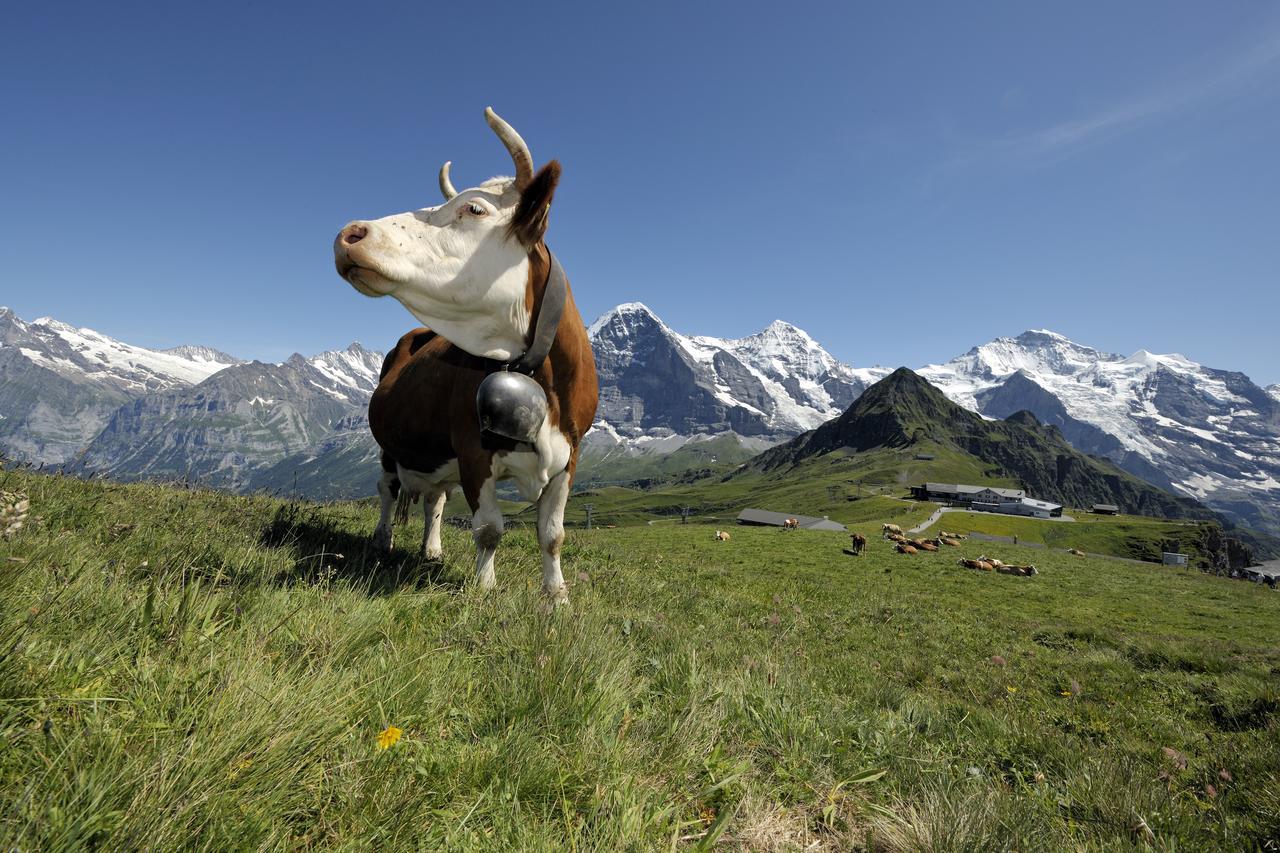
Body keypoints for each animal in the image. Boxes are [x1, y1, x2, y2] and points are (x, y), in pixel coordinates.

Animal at [337, 108, 601, 604]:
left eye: (474, 209)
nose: (349, 234)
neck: (544, 378)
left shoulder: (570, 455)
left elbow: (552, 533)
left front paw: (557, 597)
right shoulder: (472, 450)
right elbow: (489, 528)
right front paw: (484, 589)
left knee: (436, 499)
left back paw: (432, 549)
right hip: (388, 446)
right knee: (387, 488)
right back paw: (383, 539)